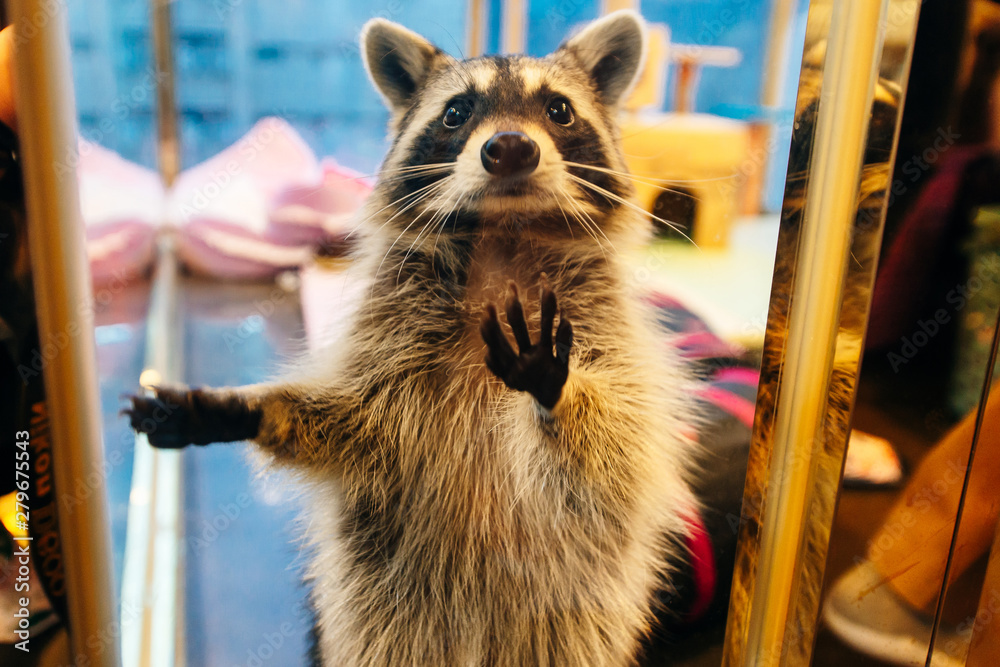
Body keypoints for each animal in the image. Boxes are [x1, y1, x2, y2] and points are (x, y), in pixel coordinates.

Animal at [126, 11, 699, 666]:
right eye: (456, 112)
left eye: (558, 110)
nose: (509, 147)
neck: (504, 236)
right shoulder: (393, 331)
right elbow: (353, 421)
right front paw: (252, 409)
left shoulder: (610, 331)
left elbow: (618, 443)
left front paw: (559, 388)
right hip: (390, 615)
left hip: (568, 625)